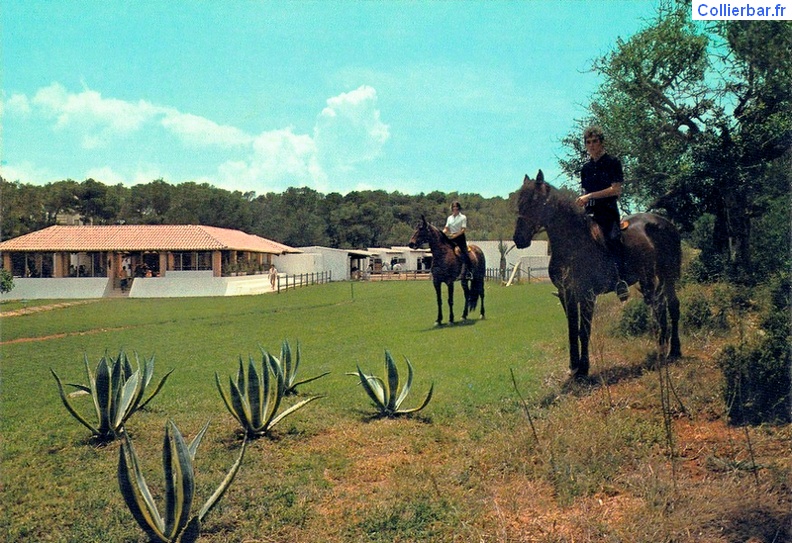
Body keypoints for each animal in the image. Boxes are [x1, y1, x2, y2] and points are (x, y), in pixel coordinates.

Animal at [512, 170, 680, 378]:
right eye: (519, 201)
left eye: (536, 201)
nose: (519, 239)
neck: (574, 244)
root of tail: (667, 224)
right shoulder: (567, 294)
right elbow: (572, 330)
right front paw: (574, 366)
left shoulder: (587, 295)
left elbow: (584, 331)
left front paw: (583, 369)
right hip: (649, 279)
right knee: (659, 306)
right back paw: (662, 348)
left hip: (668, 274)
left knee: (672, 306)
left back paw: (674, 351)